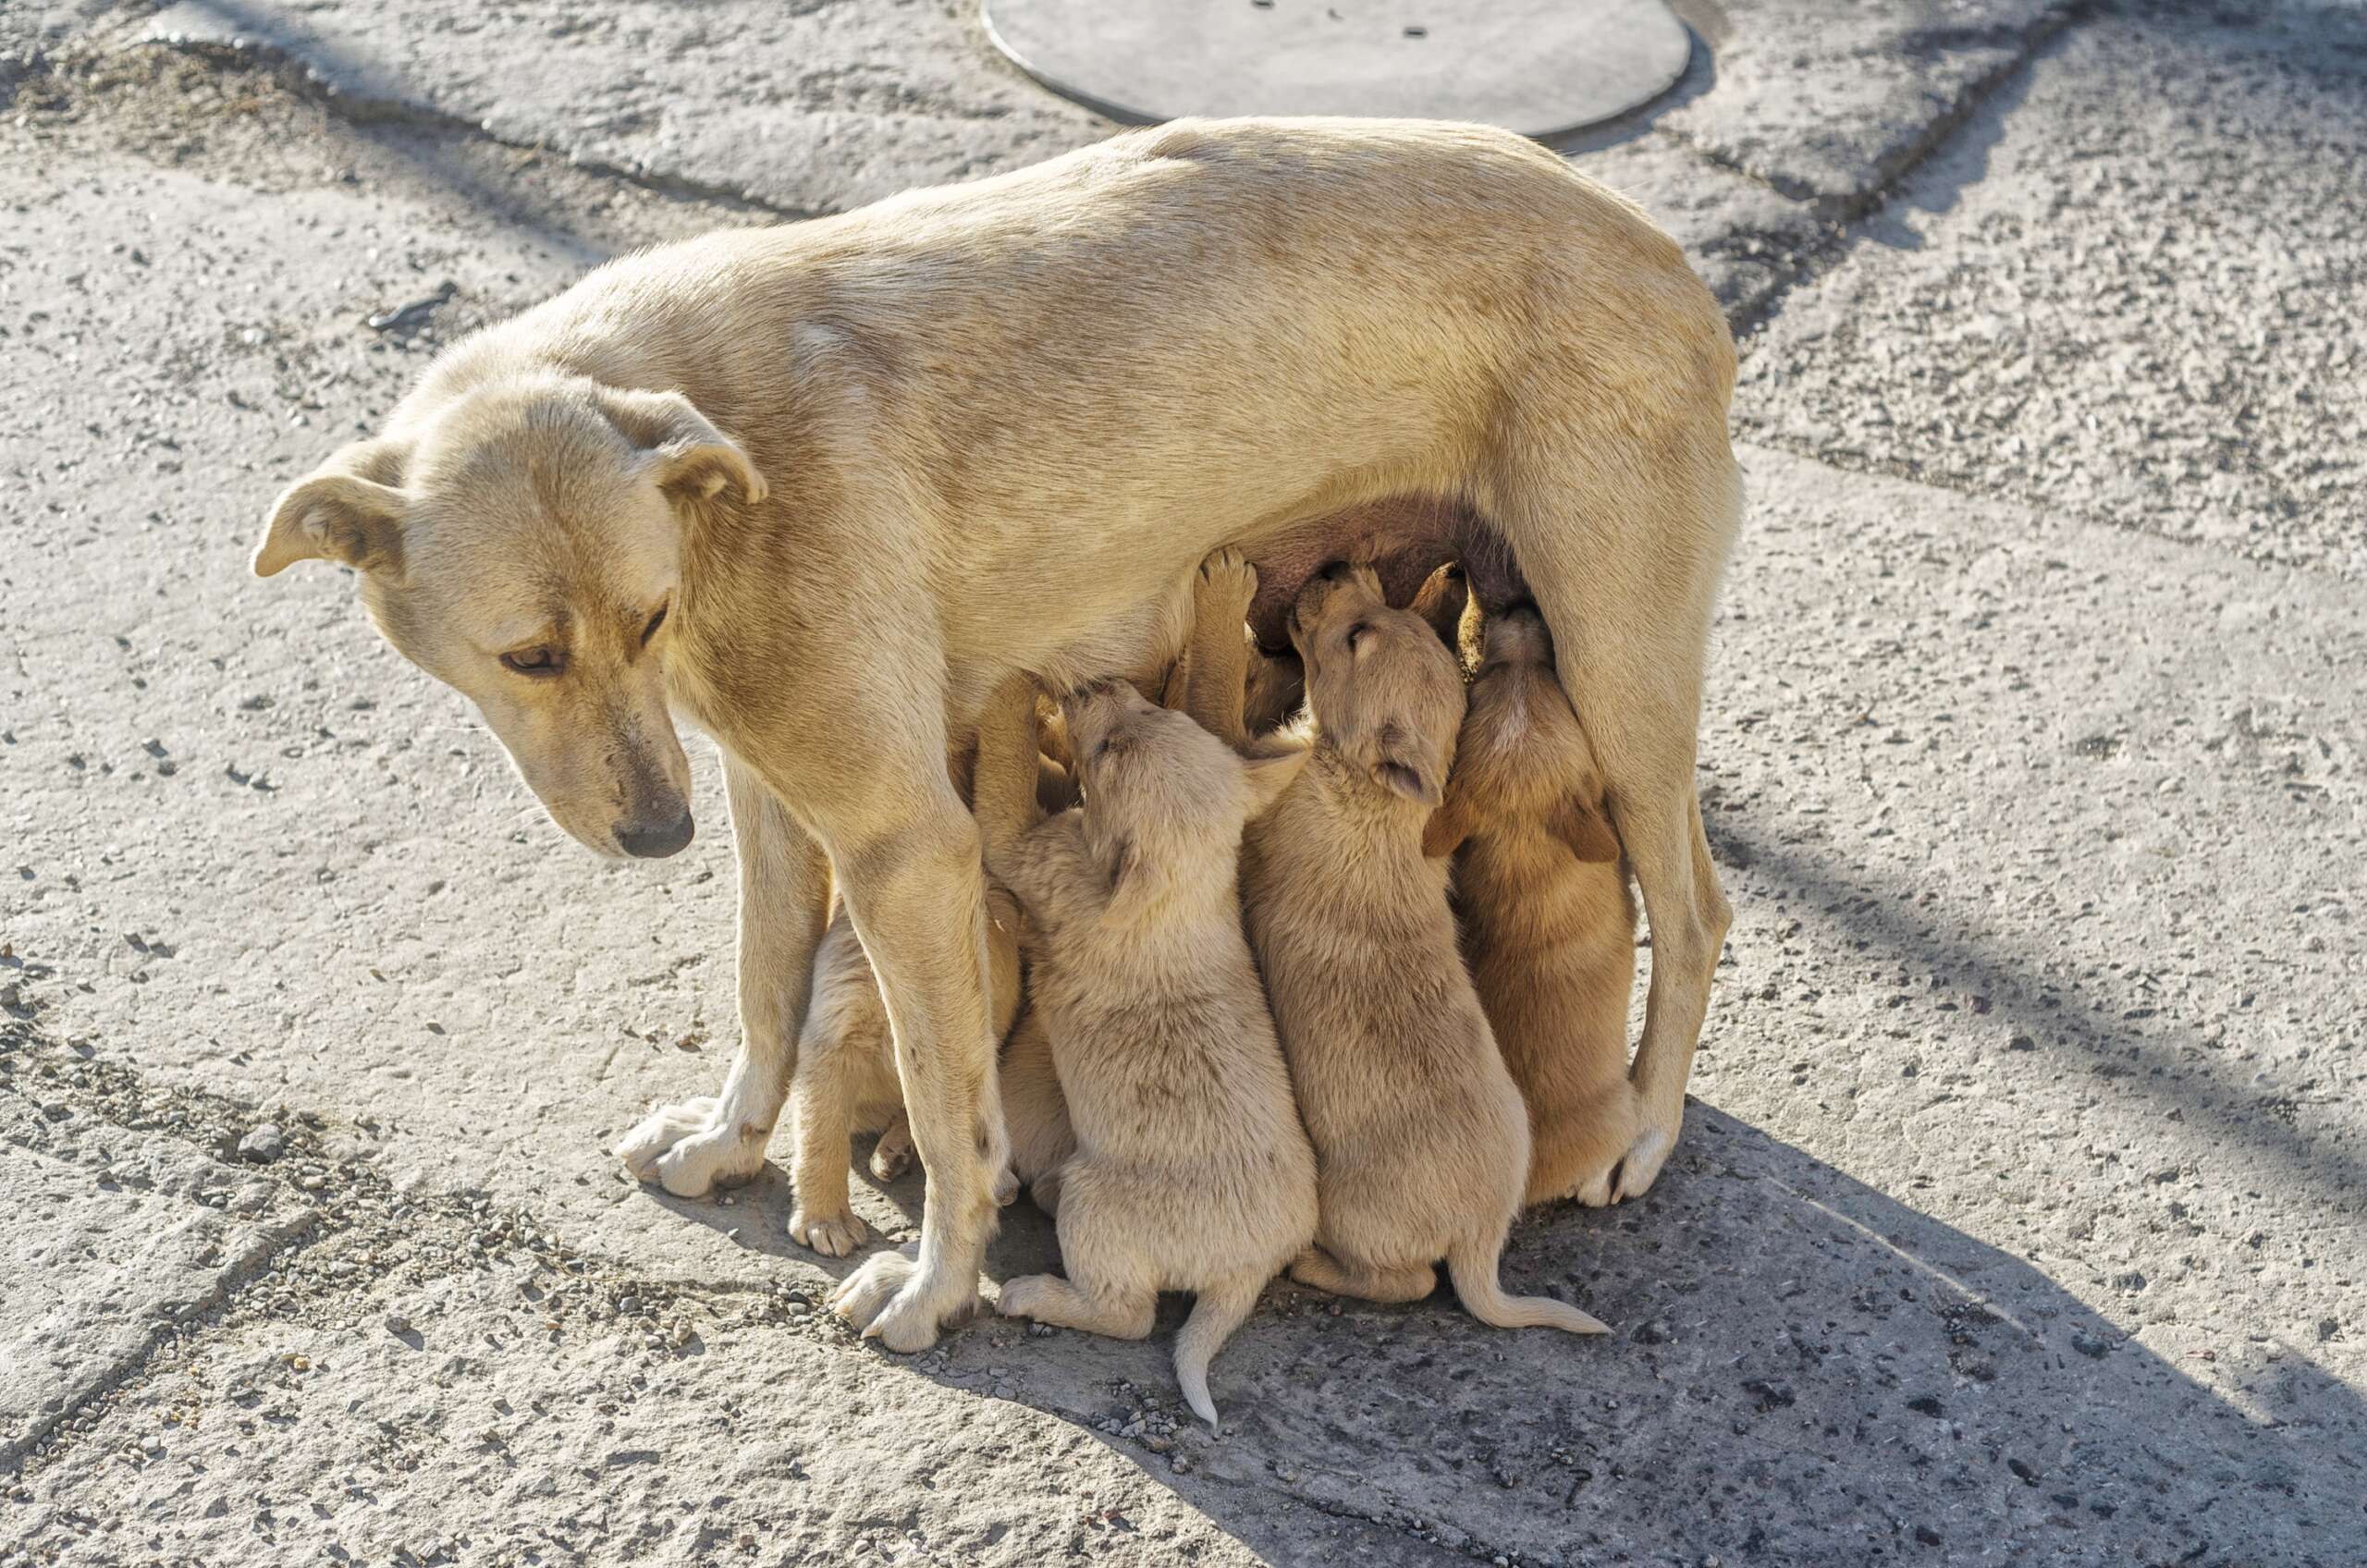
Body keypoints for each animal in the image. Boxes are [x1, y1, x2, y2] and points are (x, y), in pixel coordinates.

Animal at [975, 557, 1316, 1439]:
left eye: (1109, 749)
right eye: (1149, 711)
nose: (1099, 683)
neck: (1181, 896)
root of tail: (1247, 1269)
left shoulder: (1033, 853)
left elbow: (1003, 788)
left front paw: (1012, 680)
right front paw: (1223, 597)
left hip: (1099, 1204)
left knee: (1126, 1313)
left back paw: (1032, 1293)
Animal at [1240, 566, 1609, 1335]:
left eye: (1356, 636)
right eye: (1377, 608)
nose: (1335, 569)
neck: (1372, 789)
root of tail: (1479, 1243)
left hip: (1353, 1213)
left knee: (1403, 1282)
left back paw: (1310, 1264)